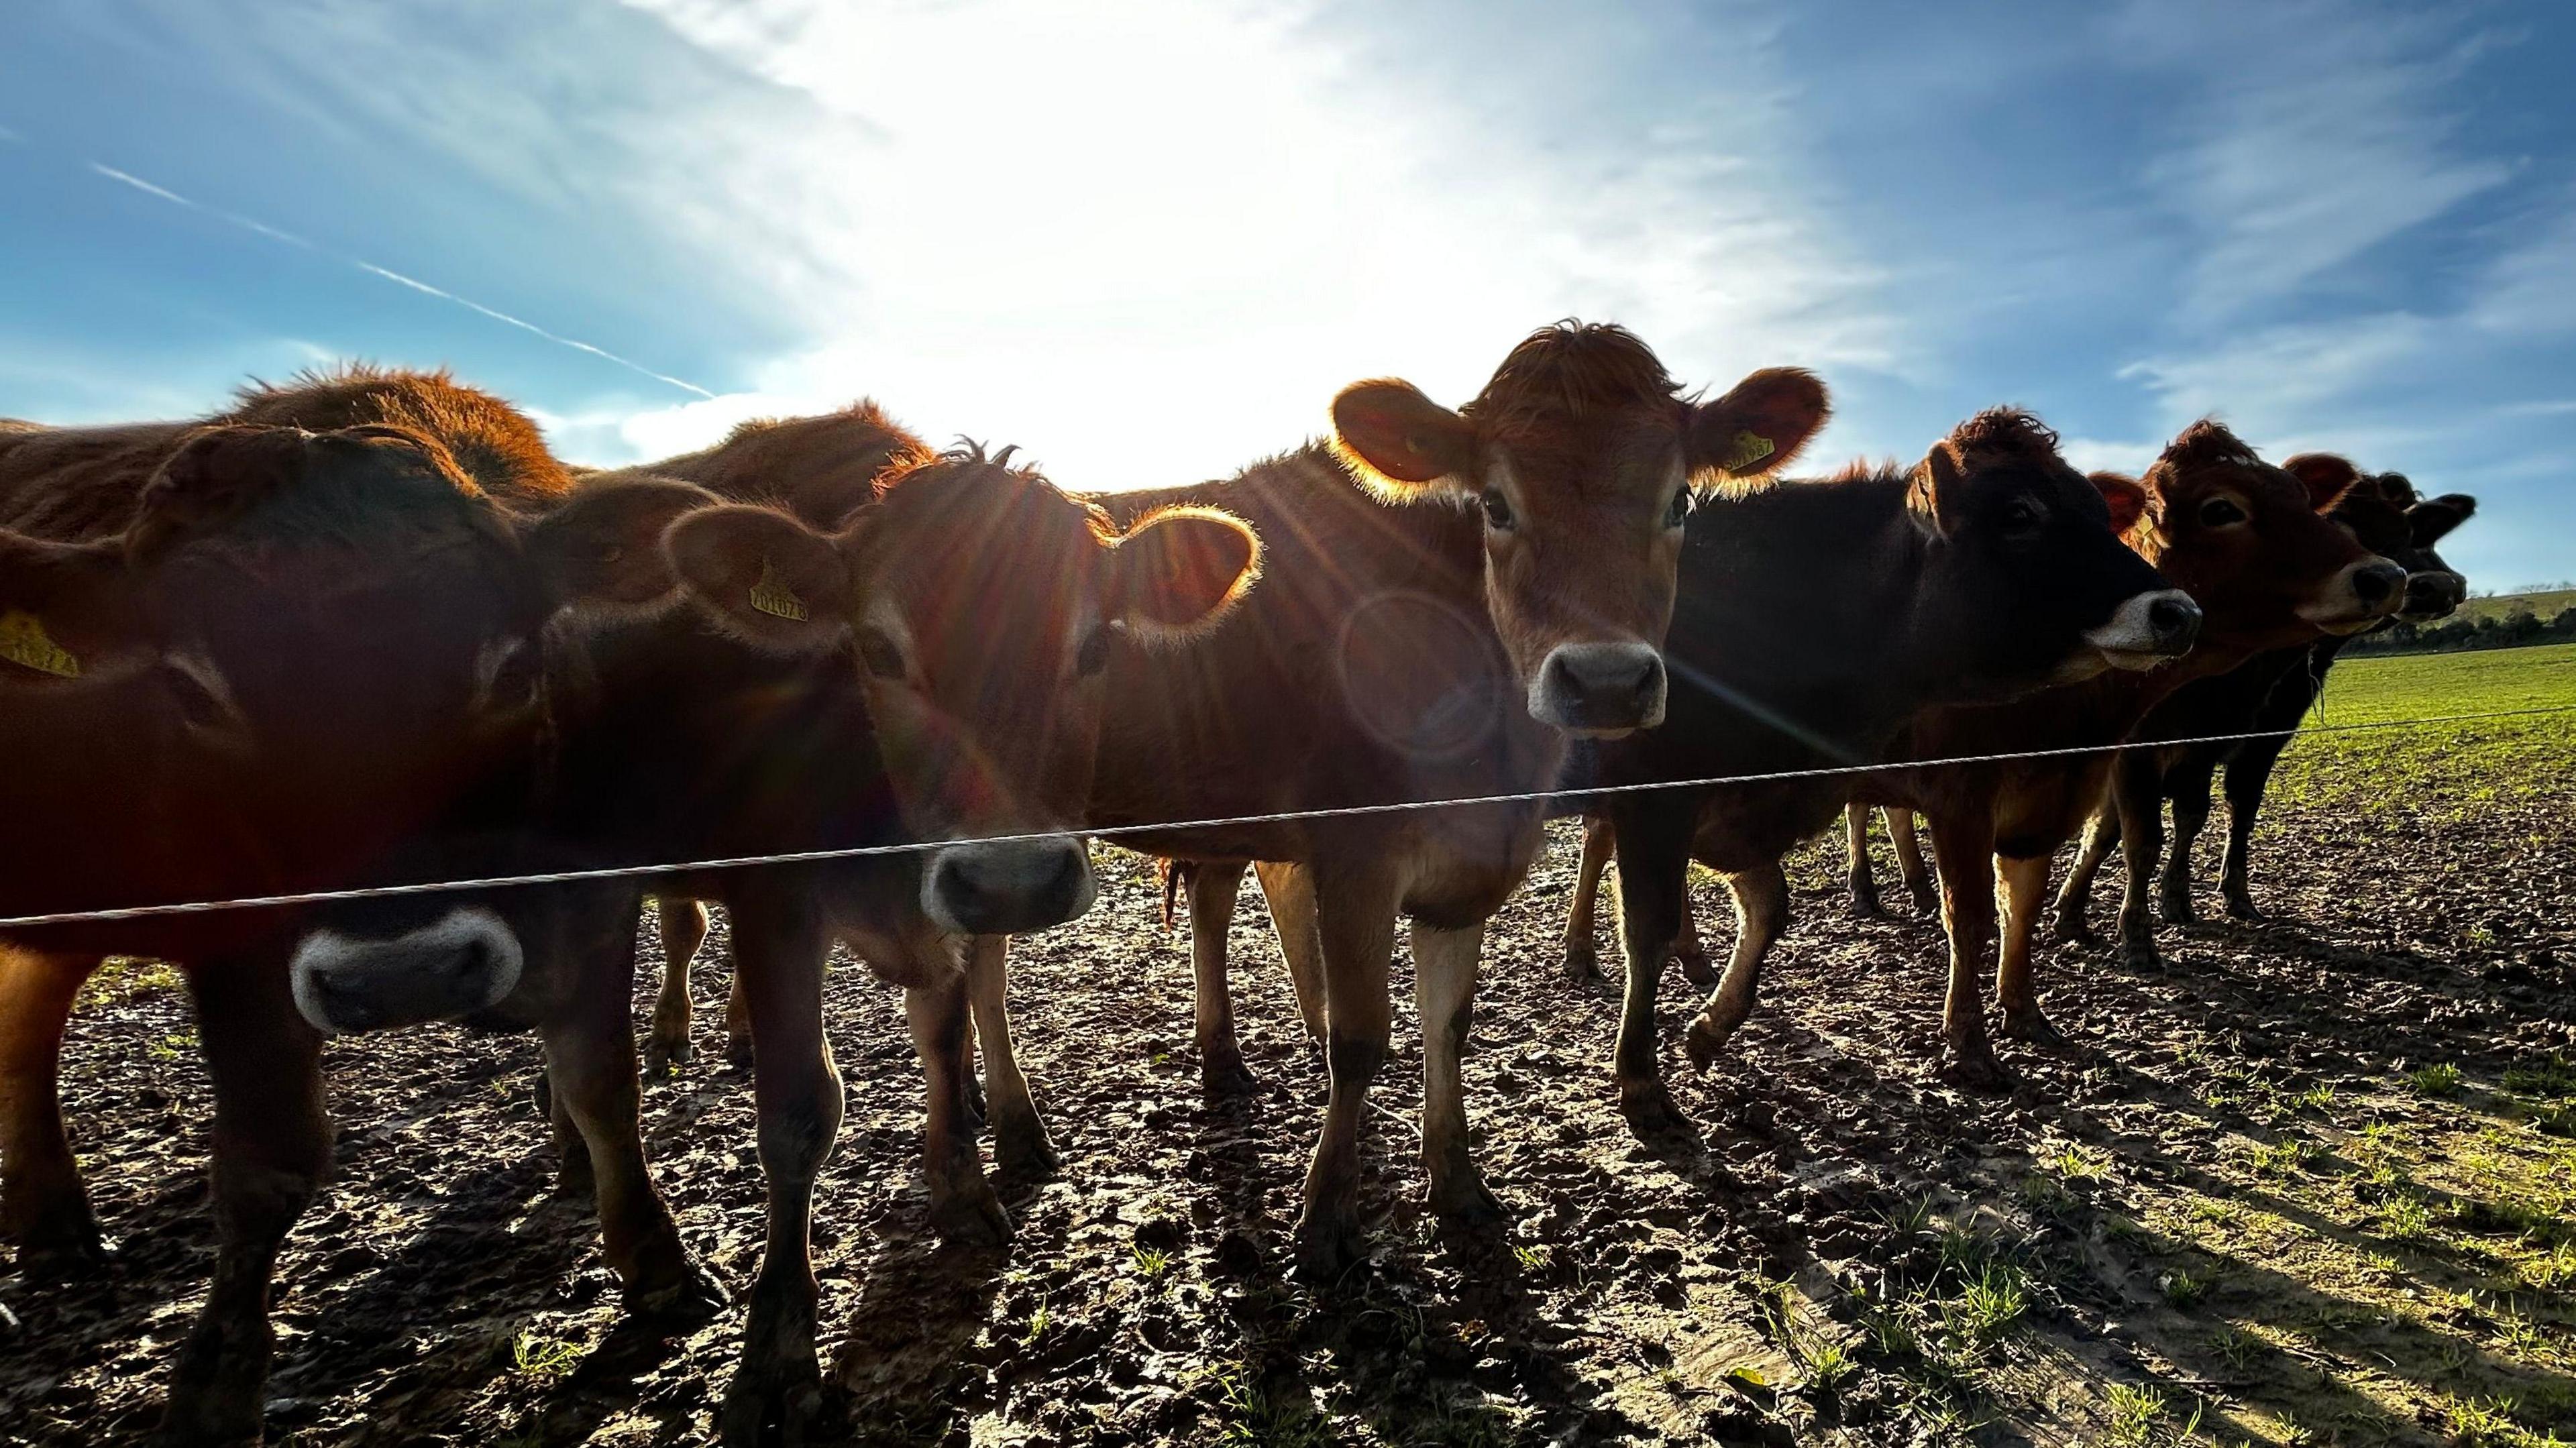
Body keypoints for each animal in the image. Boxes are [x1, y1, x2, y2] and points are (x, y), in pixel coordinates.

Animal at [937, 318, 1823, 1272]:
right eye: (1495, 504)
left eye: (1680, 503)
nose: (1607, 683)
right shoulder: (1355, 856)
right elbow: (1361, 1037)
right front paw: (1327, 1212)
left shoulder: (1470, 863)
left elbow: (1451, 1021)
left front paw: (1456, 1179)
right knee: (979, 959)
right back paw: (1011, 1125)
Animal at [1535, 406, 2205, 1118]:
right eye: (2020, 513)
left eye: (2100, 514)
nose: (2179, 612)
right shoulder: (1658, 795)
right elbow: (1649, 927)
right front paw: (1640, 1077)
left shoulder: (1739, 807)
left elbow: (1769, 904)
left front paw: (1711, 1025)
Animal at [1823, 417, 2400, 1082]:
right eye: (2221, 508)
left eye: (2302, 498)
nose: (2384, 577)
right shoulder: (1963, 796)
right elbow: (1970, 915)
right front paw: (1968, 1045)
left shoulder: (2053, 797)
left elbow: (2022, 903)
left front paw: (2024, 1012)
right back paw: (1861, 892)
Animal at [2040, 471, 2483, 922]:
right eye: (2341, 527)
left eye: (2411, 530)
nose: (2441, 587)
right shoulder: (2141, 746)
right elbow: (2118, 828)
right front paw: (2079, 909)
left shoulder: (2250, 742)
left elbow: (2221, 811)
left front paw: (2207, 896)